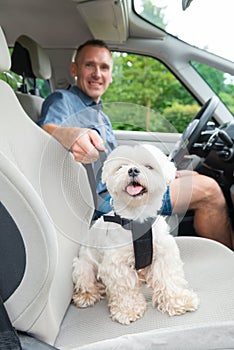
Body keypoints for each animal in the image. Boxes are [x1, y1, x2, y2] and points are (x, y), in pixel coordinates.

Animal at [72, 144, 198, 324]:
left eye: (149, 166)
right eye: (121, 166)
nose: (132, 170)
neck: (138, 219)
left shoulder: (164, 254)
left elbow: (168, 278)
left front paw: (178, 301)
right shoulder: (117, 264)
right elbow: (125, 289)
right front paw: (128, 310)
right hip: (83, 267)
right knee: (87, 282)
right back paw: (87, 295)